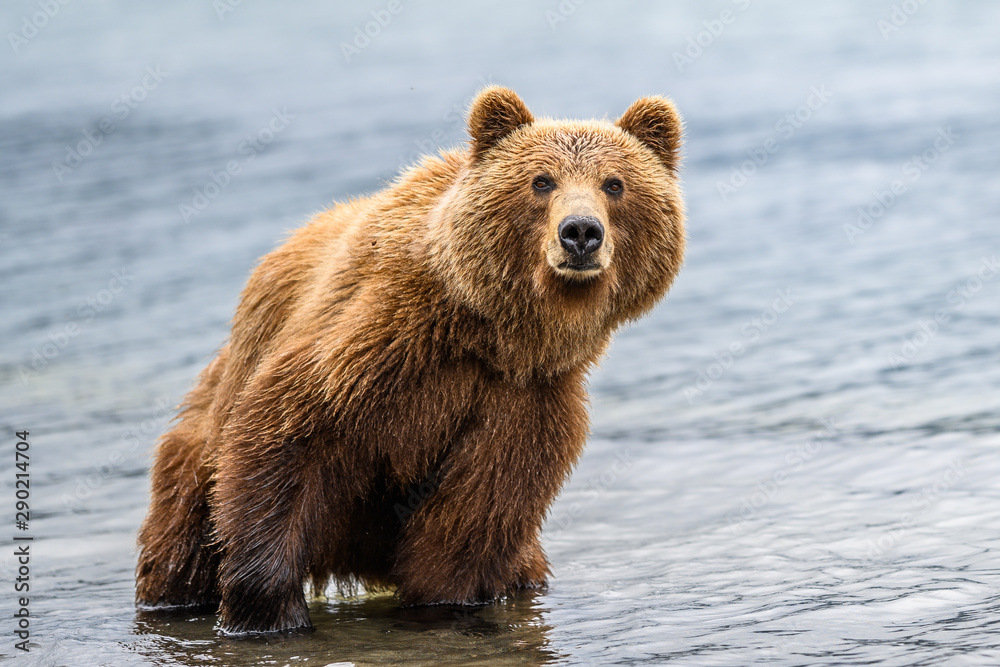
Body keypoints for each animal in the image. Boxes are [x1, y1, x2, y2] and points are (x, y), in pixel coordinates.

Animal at [135, 86, 685, 635]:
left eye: (614, 184)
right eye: (541, 181)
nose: (580, 232)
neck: (491, 332)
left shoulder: (525, 402)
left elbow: (471, 517)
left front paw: (443, 603)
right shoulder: (377, 343)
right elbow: (285, 432)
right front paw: (268, 611)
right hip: (210, 427)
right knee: (186, 521)